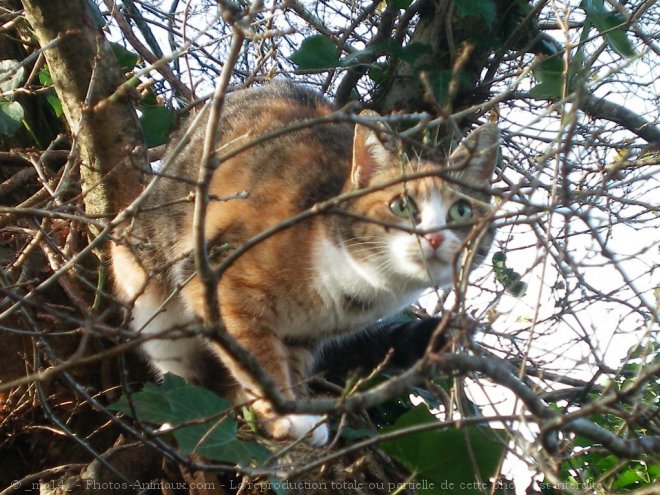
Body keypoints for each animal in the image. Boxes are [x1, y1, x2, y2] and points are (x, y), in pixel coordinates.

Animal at [111, 80, 498, 446]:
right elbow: (257, 357)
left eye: (461, 211)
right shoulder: (220, 281)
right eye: (401, 205)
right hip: (153, 303)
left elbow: (292, 364)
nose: (434, 238)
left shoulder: (304, 336)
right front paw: (284, 414)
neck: (355, 289)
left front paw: (295, 405)